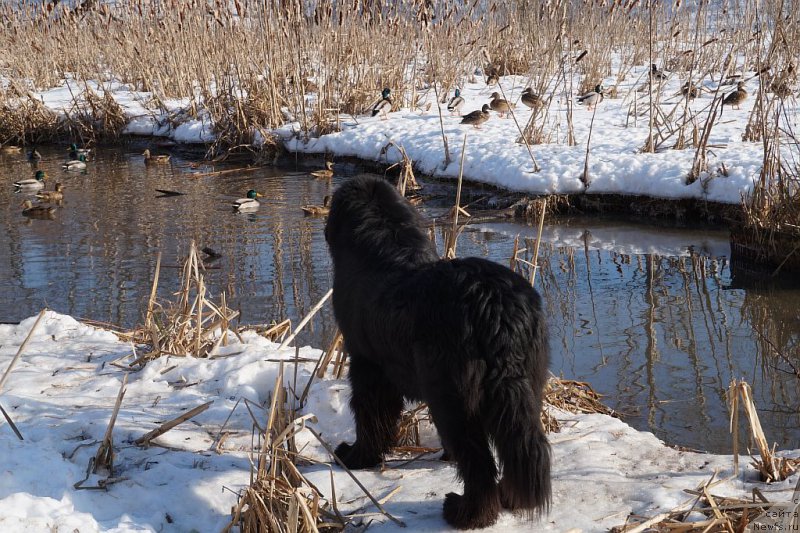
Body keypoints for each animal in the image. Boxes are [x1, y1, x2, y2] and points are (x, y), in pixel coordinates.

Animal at [324, 176, 552, 528]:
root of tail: (494, 306)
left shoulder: (367, 365)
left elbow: (369, 416)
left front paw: (356, 457)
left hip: (454, 397)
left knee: (478, 463)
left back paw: (466, 513)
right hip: (527, 382)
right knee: (522, 450)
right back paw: (509, 499)